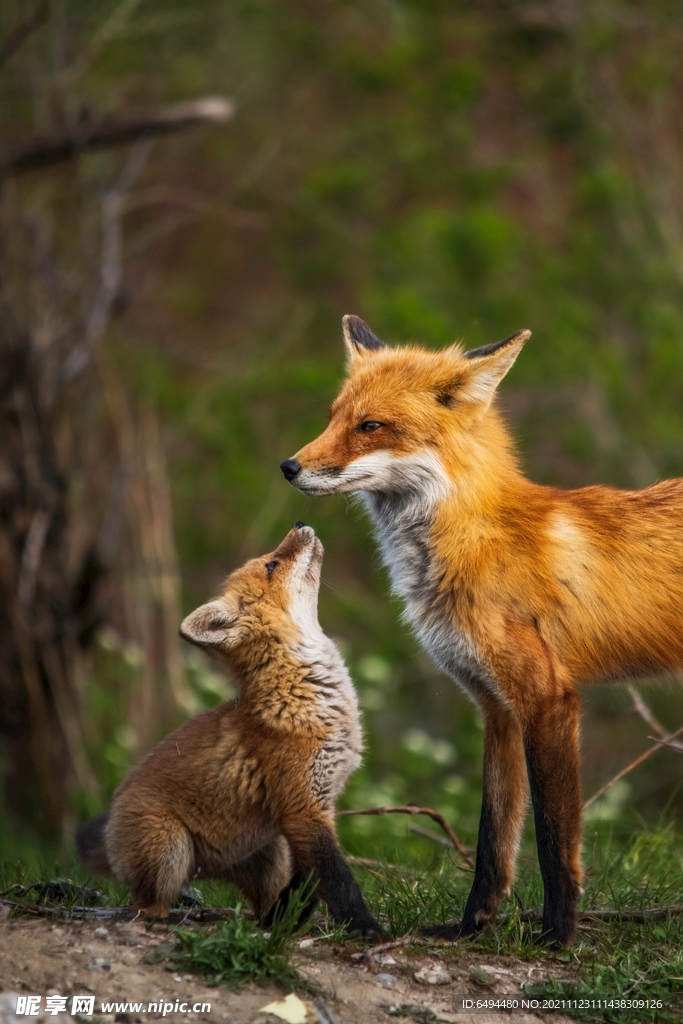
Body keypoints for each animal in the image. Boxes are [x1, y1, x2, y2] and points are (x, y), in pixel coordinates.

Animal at [278, 315, 683, 946]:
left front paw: (557, 937)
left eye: (371, 426)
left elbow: (553, 840)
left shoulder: (546, 698)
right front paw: (470, 928)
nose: (290, 467)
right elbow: (494, 839)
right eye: (333, 417)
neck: (473, 541)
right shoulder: (495, 705)